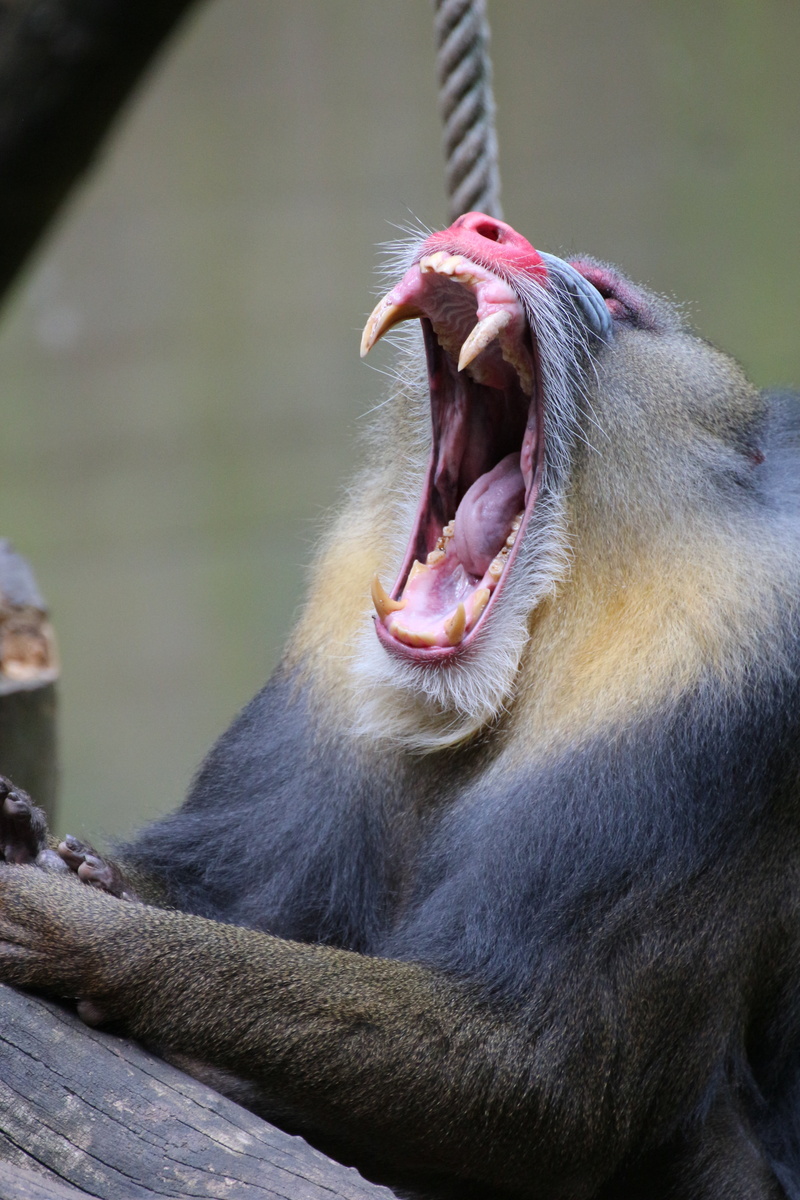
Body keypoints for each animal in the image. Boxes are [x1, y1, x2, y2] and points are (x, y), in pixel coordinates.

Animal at [0, 209, 799, 1200]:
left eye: (612, 299)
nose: (484, 225)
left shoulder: (700, 702)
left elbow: (536, 1074)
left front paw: (76, 924)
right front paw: (36, 846)